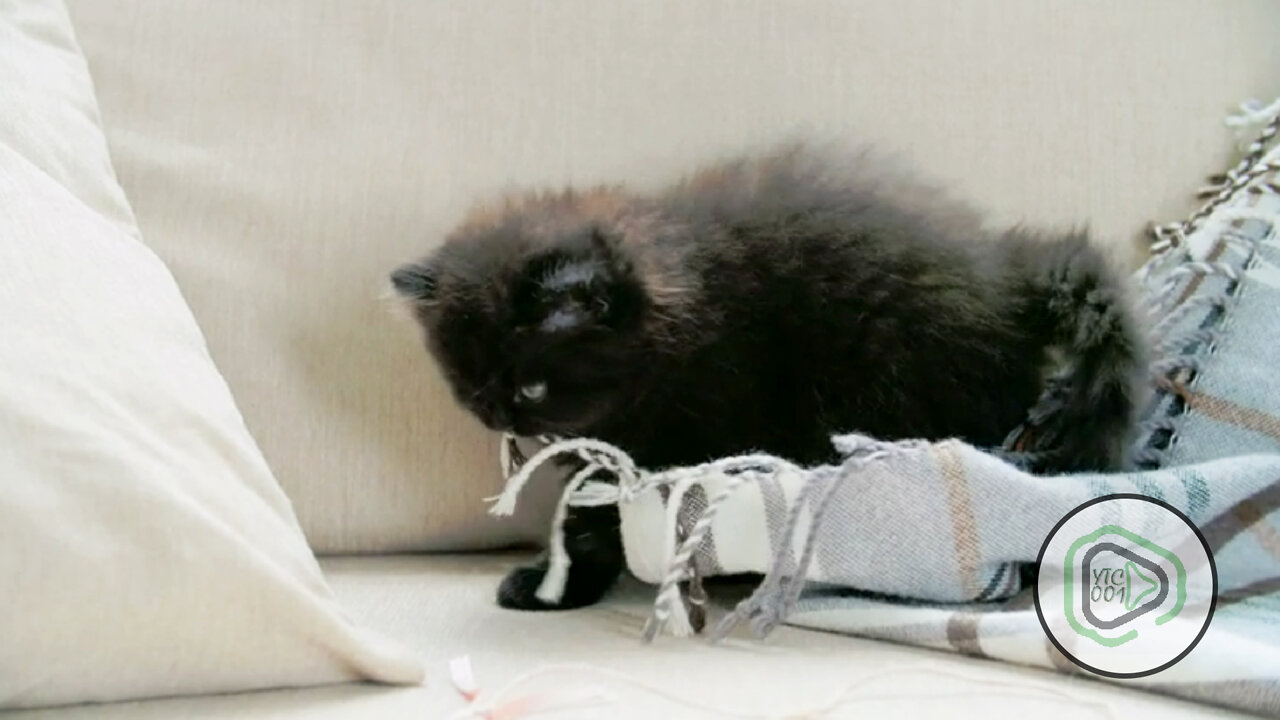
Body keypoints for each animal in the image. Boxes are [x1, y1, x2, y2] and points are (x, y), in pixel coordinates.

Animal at [391, 141, 1152, 609]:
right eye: (469, 383)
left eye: (531, 386)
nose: (499, 416)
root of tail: (1008, 278)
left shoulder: (690, 428)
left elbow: (609, 522)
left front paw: (562, 583)